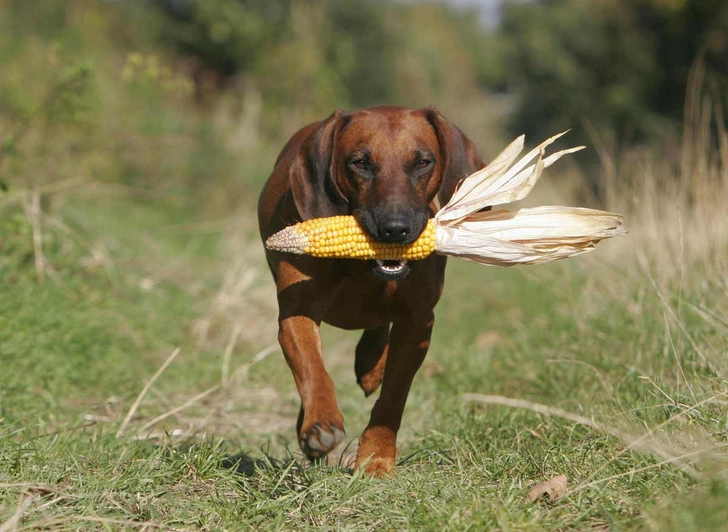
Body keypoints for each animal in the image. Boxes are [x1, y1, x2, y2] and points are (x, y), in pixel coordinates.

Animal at [256, 107, 484, 474]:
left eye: (423, 162)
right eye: (359, 162)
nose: (395, 229)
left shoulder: (418, 323)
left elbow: (393, 397)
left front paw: (376, 458)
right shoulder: (297, 311)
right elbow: (313, 369)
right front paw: (319, 423)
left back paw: (370, 364)